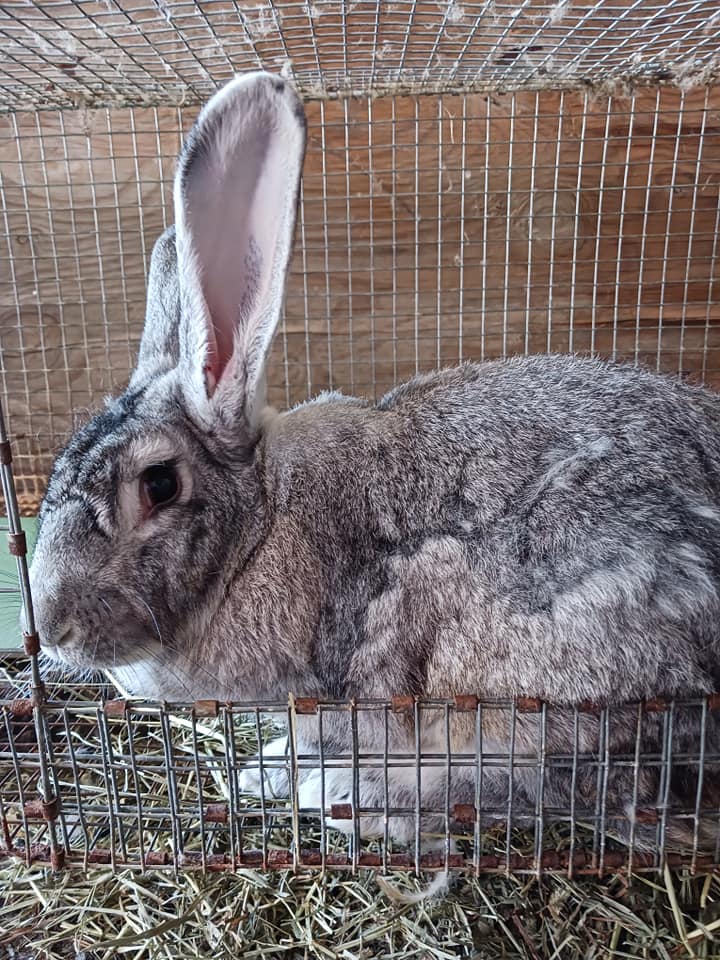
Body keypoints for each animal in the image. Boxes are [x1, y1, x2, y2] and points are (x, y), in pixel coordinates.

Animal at [28, 70, 720, 855]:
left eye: (160, 483)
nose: (50, 626)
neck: (262, 528)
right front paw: (262, 771)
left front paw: (289, 778)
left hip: (553, 690)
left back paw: (356, 800)